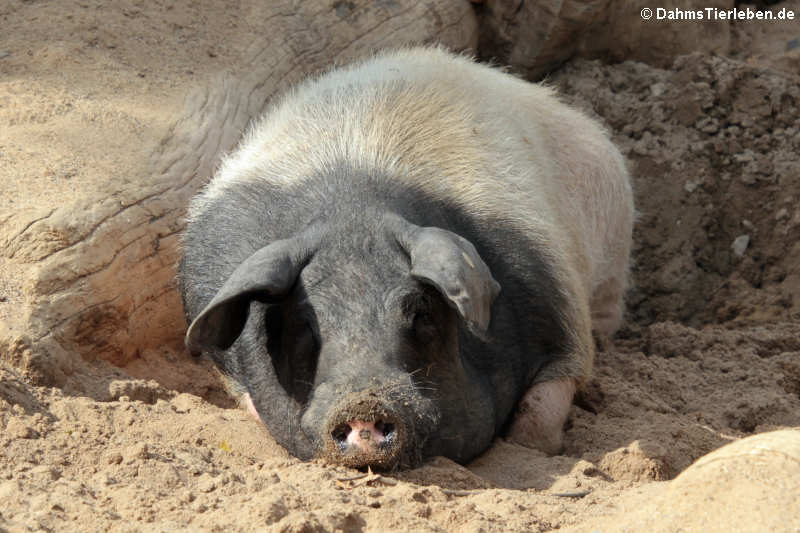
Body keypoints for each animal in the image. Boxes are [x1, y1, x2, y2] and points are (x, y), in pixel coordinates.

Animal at [178, 46, 636, 470]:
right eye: (305, 324)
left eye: (420, 315)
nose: (362, 405)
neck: (355, 206)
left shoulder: (561, 311)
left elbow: (543, 410)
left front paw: (537, 448)